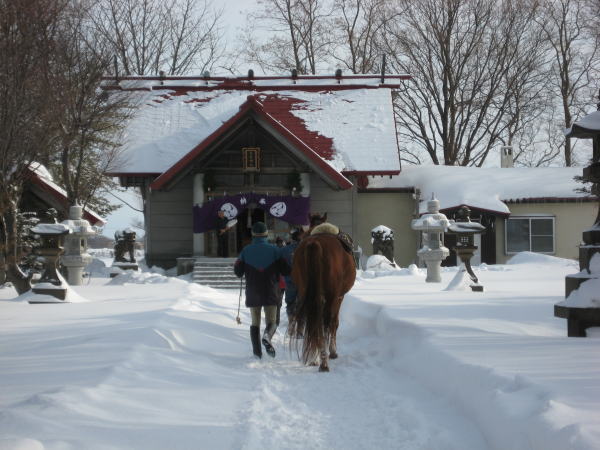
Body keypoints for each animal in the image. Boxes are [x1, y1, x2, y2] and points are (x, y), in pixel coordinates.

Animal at [288, 227, 354, 370]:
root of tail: (315, 243)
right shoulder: (339, 297)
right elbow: (334, 323)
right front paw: (333, 352)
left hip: (306, 292)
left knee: (314, 321)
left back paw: (315, 358)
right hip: (331, 296)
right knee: (325, 323)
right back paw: (324, 362)